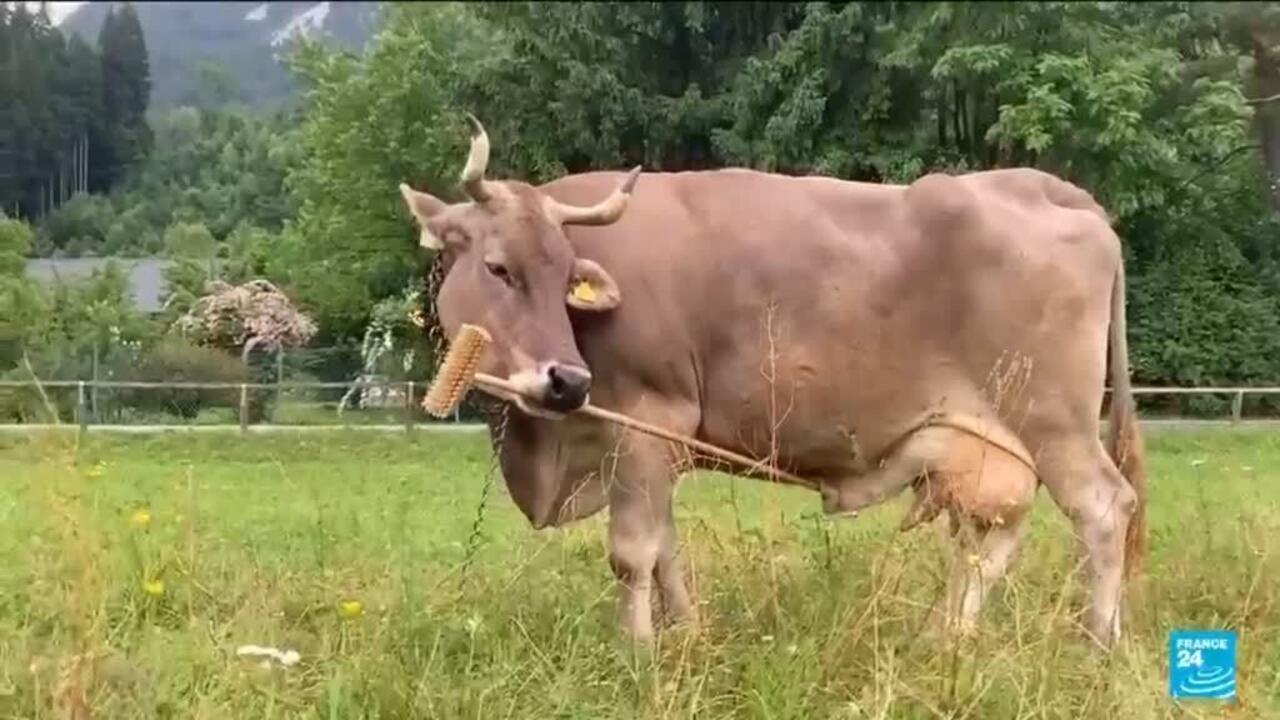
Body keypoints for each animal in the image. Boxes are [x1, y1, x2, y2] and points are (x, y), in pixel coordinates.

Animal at [398, 117, 1148, 648]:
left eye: (562, 277)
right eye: (498, 267)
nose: (566, 381)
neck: (548, 450)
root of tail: (1041, 185)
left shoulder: (650, 423)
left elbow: (634, 553)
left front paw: (638, 656)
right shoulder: (646, 447)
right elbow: (667, 548)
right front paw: (687, 635)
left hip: (1053, 421)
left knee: (1104, 508)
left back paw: (1096, 644)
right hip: (995, 441)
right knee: (1000, 535)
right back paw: (947, 635)